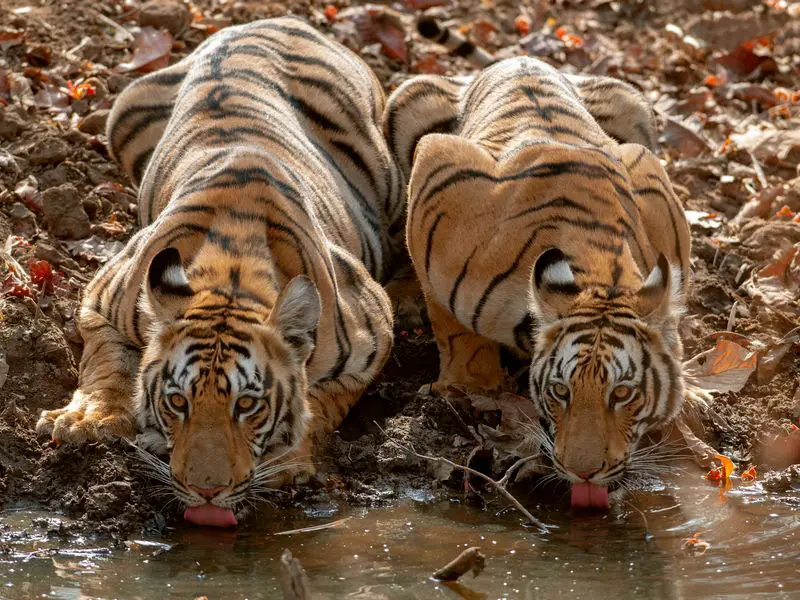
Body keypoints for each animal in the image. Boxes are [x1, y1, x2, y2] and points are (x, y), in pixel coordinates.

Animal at [36, 17, 404, 525]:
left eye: (246, 405)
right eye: (178, 402)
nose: (206, 491)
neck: (233, 272)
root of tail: (274, 19)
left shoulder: (374, 335)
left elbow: (322, 399)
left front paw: (288, 458)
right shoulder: (101, 299)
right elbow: (107, 362)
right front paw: (87, 420)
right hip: (121, 113)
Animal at [384, 18, 692, 509]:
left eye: (623, 393)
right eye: (560, 391)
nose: (584, 471)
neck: (599, 268)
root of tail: (516, 58)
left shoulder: (652, 182)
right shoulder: (439, 173)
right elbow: (451, 323)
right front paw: (469, 384)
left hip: (635, 108)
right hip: (408, 101)